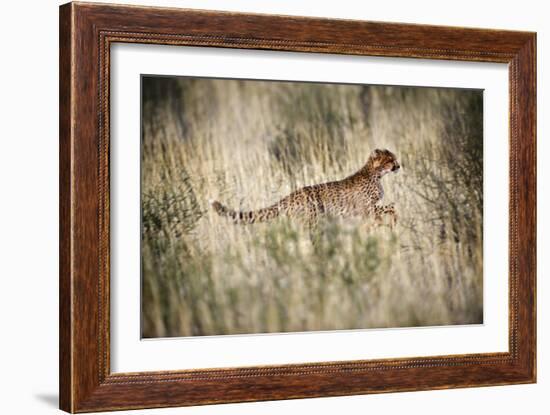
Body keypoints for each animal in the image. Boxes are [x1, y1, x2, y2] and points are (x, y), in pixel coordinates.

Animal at [211, 150, 402, 228]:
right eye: (391, 160)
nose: (399, 165)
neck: (376, 173)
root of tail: (291, 195)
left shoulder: (364, 210)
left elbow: (388, 208)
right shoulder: (366, 208)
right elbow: (390, 208)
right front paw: (391, 221)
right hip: (312, 220)